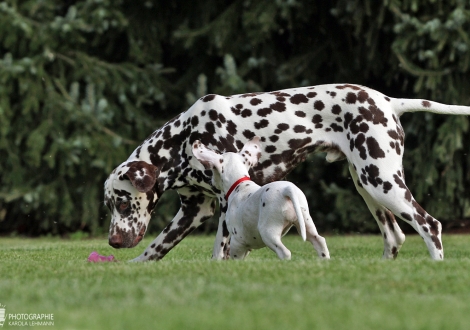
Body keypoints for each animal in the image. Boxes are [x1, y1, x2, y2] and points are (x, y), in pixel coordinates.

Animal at [191, 137, 330, 260]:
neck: (240, 184)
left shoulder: (237, 242)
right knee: (320, 241)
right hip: (306, 222)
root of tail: (287, 190)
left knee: (285, 252)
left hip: (268, 232)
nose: (211, 182)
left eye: (213, 169)